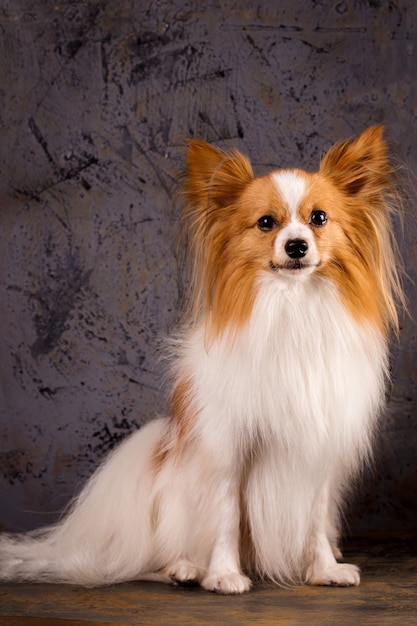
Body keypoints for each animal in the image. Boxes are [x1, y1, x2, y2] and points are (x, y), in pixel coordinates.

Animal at [0, 125, 404, 588]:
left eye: (318, 218)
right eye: (266, 223)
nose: (297, 245)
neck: (291, 304)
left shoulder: (319, 450)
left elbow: (315, 519)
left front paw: (323, 569)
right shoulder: (227, 447)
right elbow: (226, 515)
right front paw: (224, 574)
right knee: (162, 552)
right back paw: (186, 568)